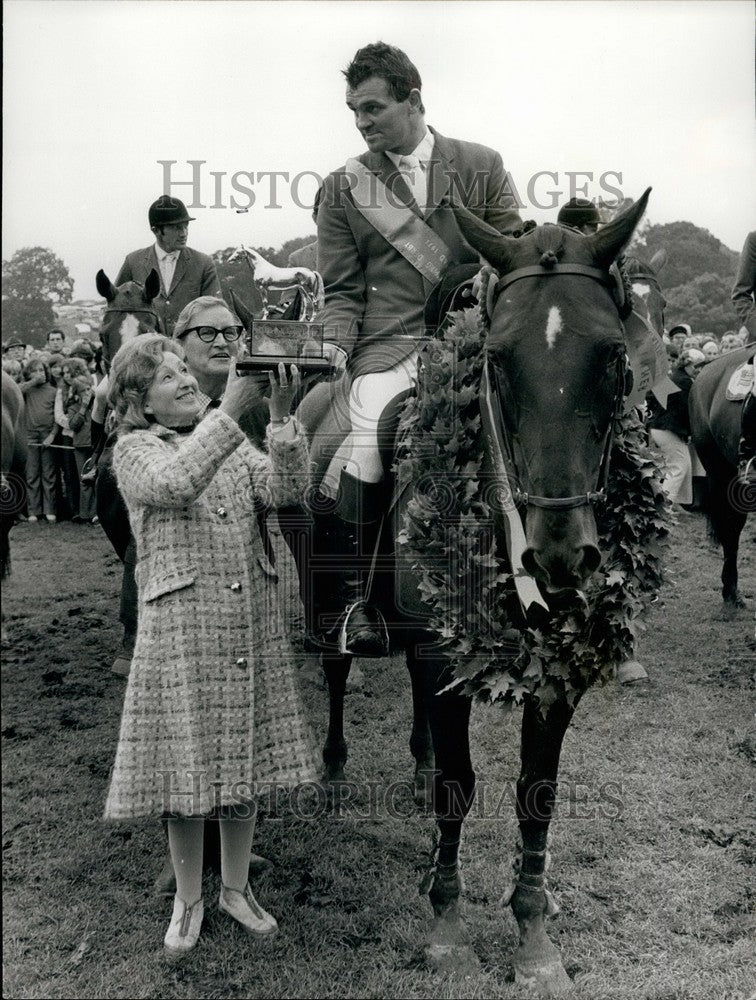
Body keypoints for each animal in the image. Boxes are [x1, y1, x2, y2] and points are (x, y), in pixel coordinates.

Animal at [292, 191, 652, 988]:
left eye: (614, 357)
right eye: (496, 360)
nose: (559, 558)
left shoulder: (558, 670)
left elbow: (536, 794)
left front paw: (535, 937)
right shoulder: (435, 656)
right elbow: (458, 789)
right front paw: (449, 929)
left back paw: (417, 761)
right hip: (332, 604)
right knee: (336, 671)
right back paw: (333, 768)